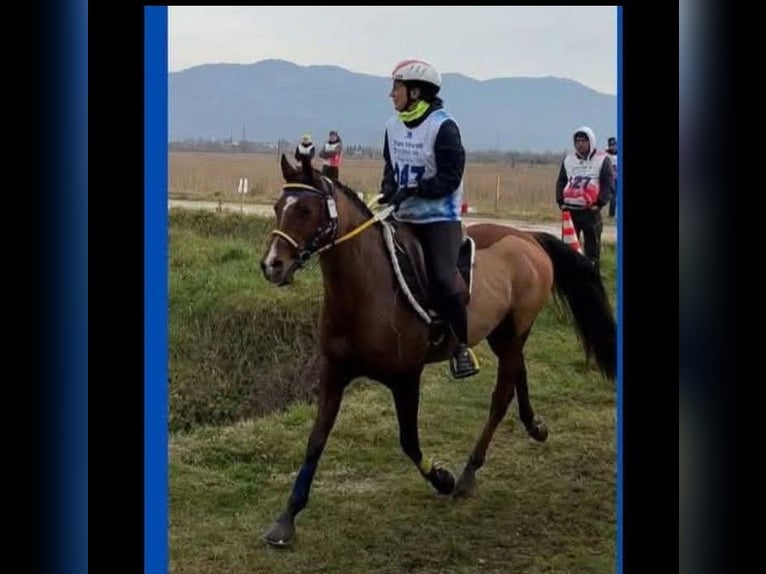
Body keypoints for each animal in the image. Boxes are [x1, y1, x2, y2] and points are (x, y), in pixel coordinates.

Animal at [258, 153, 616, 546]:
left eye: (306, 210)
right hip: (504, 335)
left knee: (501, 395)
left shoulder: (405, 379)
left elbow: (409, 441)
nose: (272, 265)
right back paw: (534, 426)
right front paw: (287, 517)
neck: (365, 288)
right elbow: (316, 440)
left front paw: (442, 478)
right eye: (278, 207)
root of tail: (528, 238)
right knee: (518, 373)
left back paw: (469, 472)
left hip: (513, 332)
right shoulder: (335, 373)